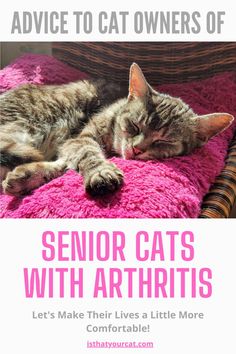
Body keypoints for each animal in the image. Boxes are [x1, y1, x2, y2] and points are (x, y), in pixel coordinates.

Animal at [0, 63, 234, 196]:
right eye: (135, 125)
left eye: (163, 141)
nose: (137, 149)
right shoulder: (79, 139)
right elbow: (86, 154)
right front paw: (100, 172)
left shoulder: (71, 144)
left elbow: (64, 163)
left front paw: (26, 176)